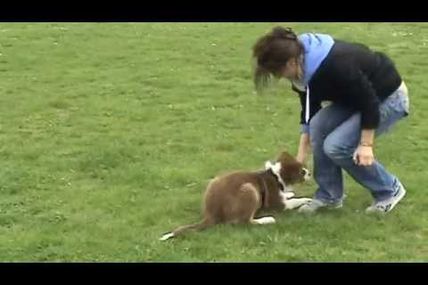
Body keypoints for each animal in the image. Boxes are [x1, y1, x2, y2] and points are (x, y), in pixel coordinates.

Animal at [160, 151, 310, 240]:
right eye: (302, 171)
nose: (309, 173)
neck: (275, 176)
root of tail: (211, 214)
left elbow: (289, 195)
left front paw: (290, 193)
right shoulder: (277, 204)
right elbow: (296, 201)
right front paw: (307, 199)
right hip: (249, 190)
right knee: (245, 222)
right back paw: (267, 219)